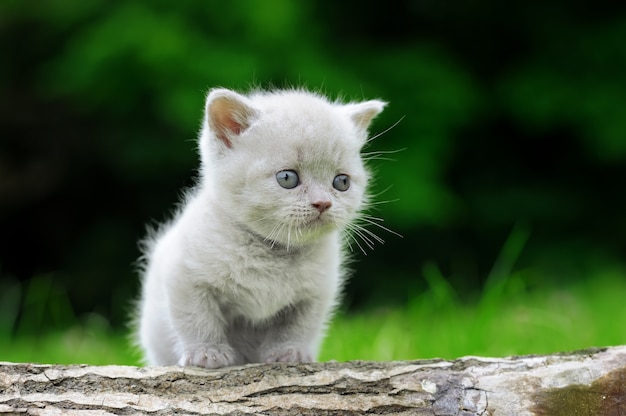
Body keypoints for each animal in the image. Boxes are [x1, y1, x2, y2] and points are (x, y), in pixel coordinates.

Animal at [136, 88, 386, 368]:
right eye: (287, 178)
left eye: (341, 182)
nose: (323, 203)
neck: (272, 251)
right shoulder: (184, 275)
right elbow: (196, 317)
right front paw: (207, 353)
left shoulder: (316, 293)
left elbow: (299, 326)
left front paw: (289, 352)